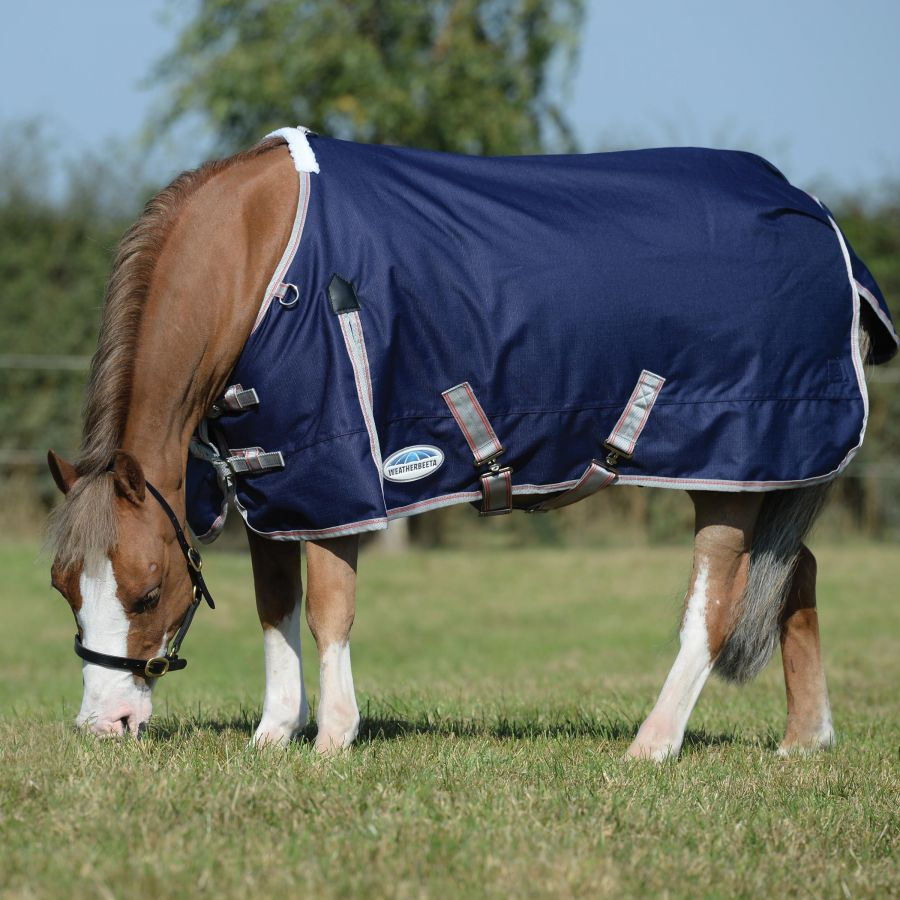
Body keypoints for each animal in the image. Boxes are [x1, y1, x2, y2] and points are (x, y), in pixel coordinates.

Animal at [46, 128, 896, 759]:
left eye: (147, 592)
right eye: (63, 588)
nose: (104, 725)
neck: (257, 264)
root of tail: (821, 221)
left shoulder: (338, 474)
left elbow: (327, 609)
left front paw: (333, 739)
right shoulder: (274, 482)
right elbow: (274, 607)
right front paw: (273, 734)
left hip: (732, 463)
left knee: (716, 606)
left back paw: (653, 744)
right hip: (766, 475)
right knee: (795, 575)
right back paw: (803, 741)